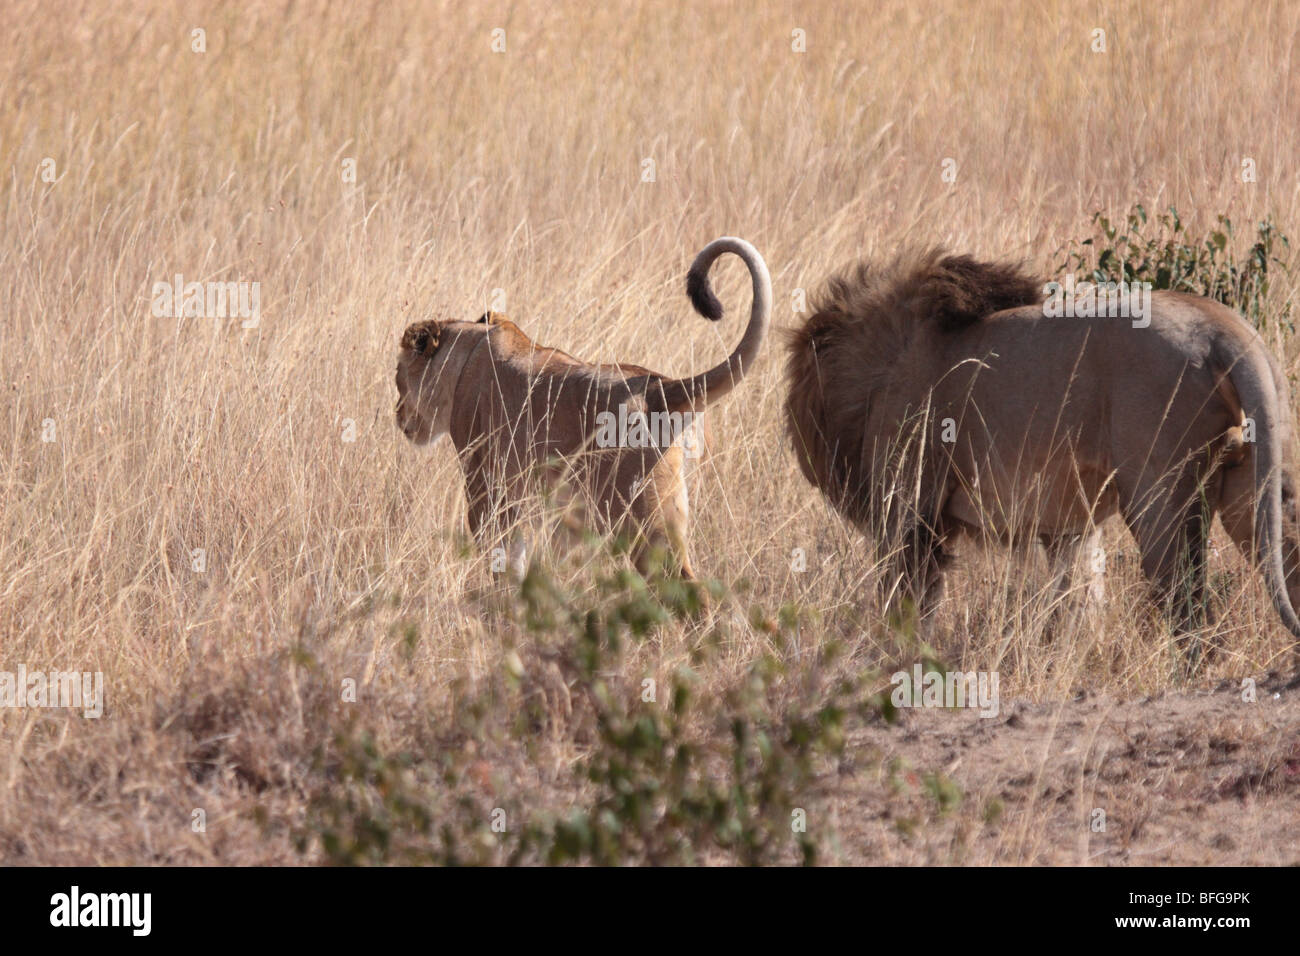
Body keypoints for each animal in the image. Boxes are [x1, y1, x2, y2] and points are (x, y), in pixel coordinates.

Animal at [395, 236, 771, 579]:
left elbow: (498, 552)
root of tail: (662, 386)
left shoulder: (483, 480)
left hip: (642, 515)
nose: (396, 414)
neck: (467, 351)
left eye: (397, 377)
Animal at [784, 248, 1300, 672]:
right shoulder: (1069, 524)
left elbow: (907, 606)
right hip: (1256, 481)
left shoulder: (908, 508)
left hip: (1159, 495)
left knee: (1189, 608)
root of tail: (1222, 329)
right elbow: (1078, 599)